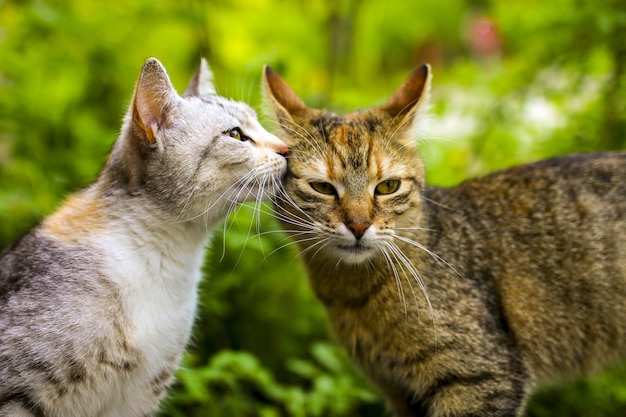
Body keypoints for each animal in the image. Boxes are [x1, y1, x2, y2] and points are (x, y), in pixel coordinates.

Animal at [260, 63, 624, 414]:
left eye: (388, 186)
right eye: (322, 187)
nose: (359, 226)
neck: (353, 295)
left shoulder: (481, 378)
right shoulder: (400, 393)